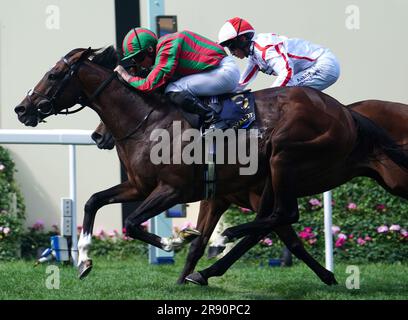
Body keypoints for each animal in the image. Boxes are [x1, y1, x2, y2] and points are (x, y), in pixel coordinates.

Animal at [14, 46, 408, 286]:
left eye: (53, 75)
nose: (21, 109)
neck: (148, 120)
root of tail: (347, 113)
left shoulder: (173, 189)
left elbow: (133, 223)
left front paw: (173, 241)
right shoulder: (143, 187)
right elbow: (94, 201)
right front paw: (83, 261)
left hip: (283, 156)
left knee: (284, 214)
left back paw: (226, 237)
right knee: (280, 218)